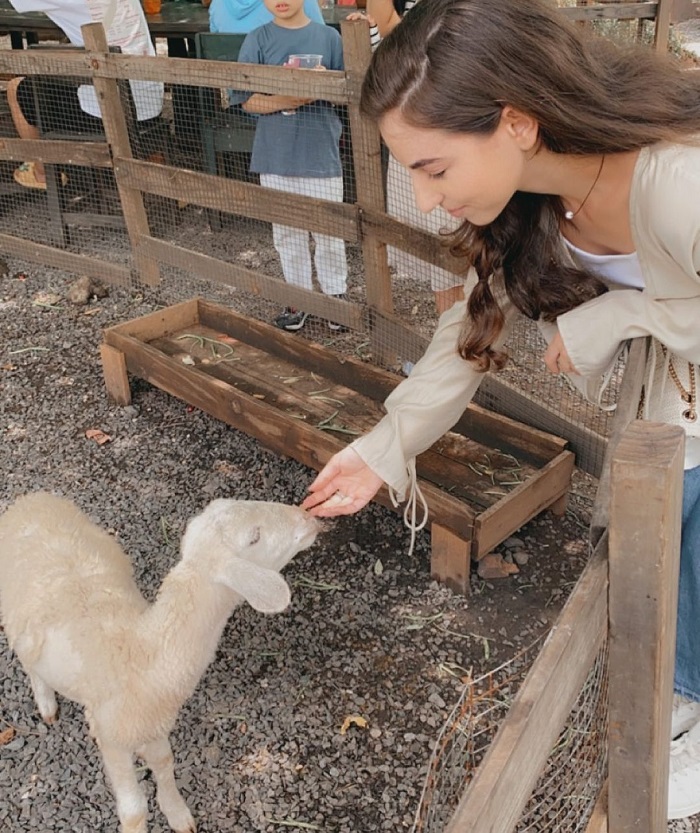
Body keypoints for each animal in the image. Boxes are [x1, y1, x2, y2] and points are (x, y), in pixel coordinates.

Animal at [0, 490, 322, 828]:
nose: (309, 518)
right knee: (30, 663)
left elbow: (164, 762)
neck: (143, 653)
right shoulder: (111, 737)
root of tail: (31, 499)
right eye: (254, 537)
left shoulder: (154, 724)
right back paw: (46, 703)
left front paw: (177, 813)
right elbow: (134, 811)